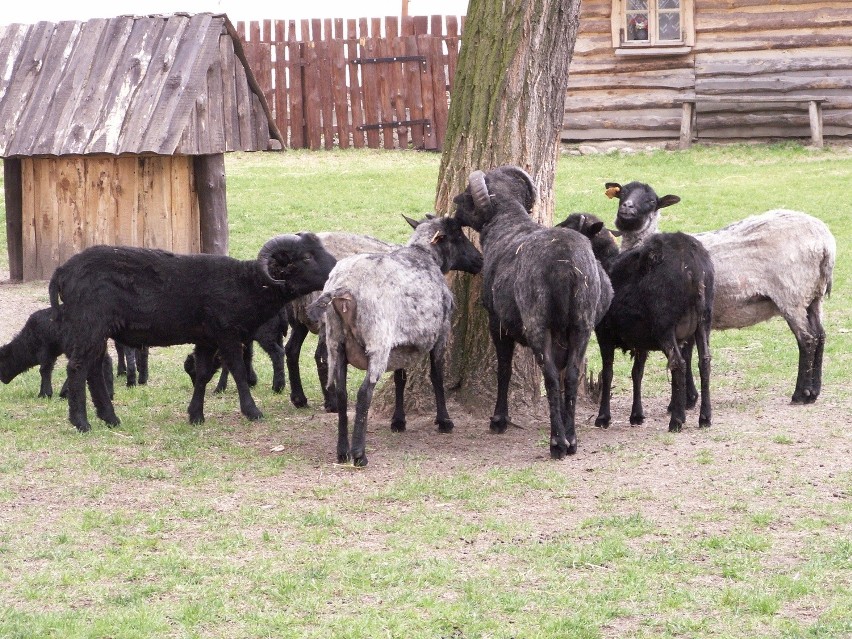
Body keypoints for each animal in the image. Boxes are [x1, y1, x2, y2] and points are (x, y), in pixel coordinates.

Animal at [306, 218, 482, 468]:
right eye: (458, 235)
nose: (480, 260)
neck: (424, 255)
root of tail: (344, 287)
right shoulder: (441, 332)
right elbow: (437, 376)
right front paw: (444, 420)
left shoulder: (401, 345)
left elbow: (400, 378)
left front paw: (398, 421)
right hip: (378, 341)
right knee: (364, 394)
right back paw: (359, 455)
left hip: (335, 341)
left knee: (342, 393)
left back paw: (342, 452)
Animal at [608, 182, 836, 404]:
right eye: (622, 193)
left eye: (651, 202)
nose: (626, 208)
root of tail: (825, 242)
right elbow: (688, 355)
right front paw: (690, 397)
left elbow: (685, 355)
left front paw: (686, 400)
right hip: (813, 296)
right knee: (820, 335)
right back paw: (814, 391)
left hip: (791, 294)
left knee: (807, 339)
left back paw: (800, 394)